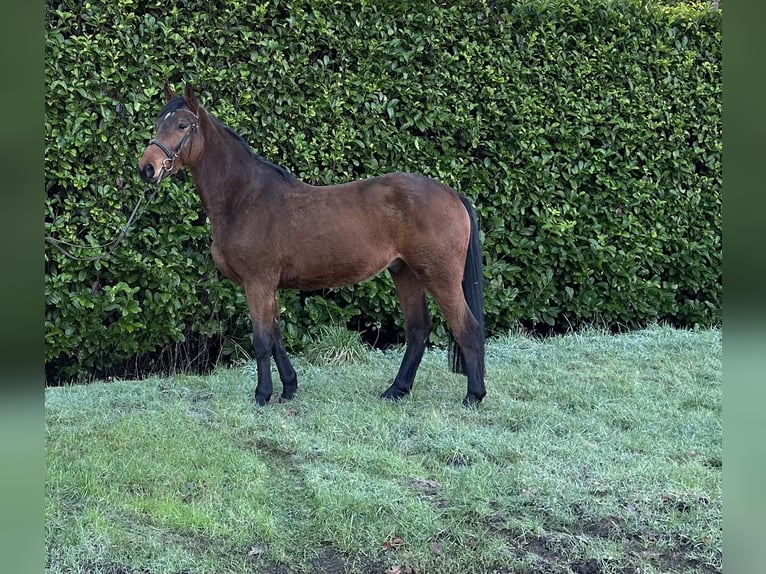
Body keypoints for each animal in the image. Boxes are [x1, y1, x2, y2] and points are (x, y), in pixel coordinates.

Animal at [138, 84, 486, 410]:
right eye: (157, 123)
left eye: (183, 125)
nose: (147, 168)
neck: (245, 197)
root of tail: (452, 194)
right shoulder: (268, 286)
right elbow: (276, 337)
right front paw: (289, 388)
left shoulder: (257, 282)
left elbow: (262, 340)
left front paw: (262, 395)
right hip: (405, 272)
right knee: (417, 330)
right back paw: (396, 390)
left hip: (439, 275)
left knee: (466, 327)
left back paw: (474, 395)